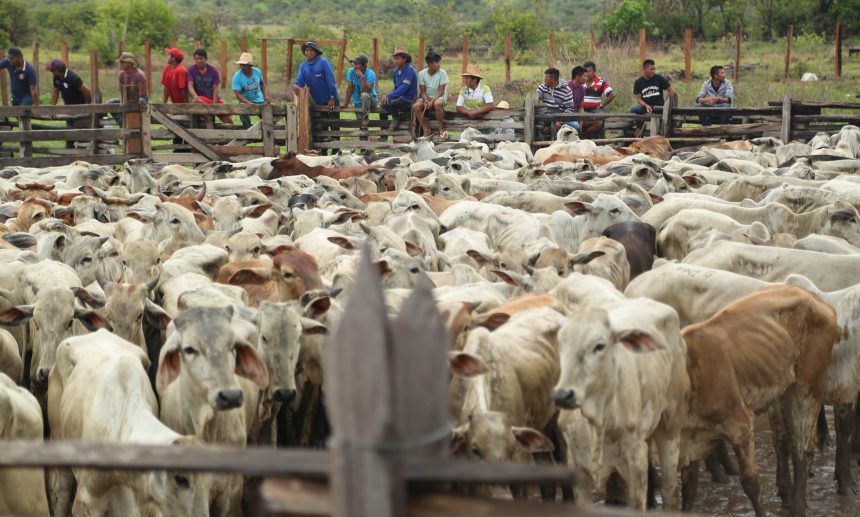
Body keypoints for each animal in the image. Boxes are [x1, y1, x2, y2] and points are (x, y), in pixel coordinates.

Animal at [676, 286, 836, 516]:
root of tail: (814, 297)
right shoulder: (690, 440)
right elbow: (689, 489)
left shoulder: (741, 425)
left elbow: (751, 483)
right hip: (781, 393)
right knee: (784, 444)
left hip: (809, 387)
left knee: (803, 449)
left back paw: (797, 506)